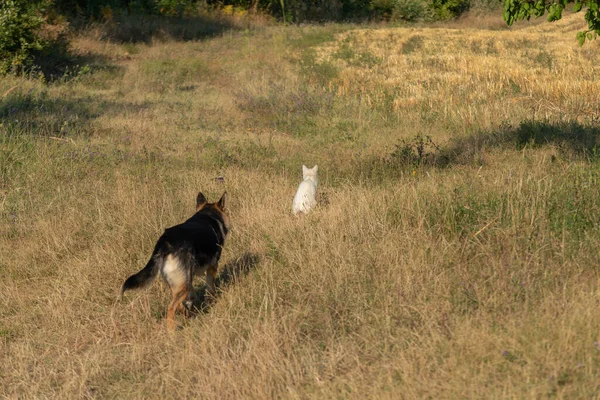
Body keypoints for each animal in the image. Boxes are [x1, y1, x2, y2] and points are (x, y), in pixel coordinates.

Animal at [120, 192, 229, 330]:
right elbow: (210, 288)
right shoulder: (212, 267)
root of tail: (165, 242)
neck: (208, 215)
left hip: (178, 282)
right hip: (183, 284)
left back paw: (187, 313)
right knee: (171, 308)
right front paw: (211, 301)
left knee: (178, 304)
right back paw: (172, 331)